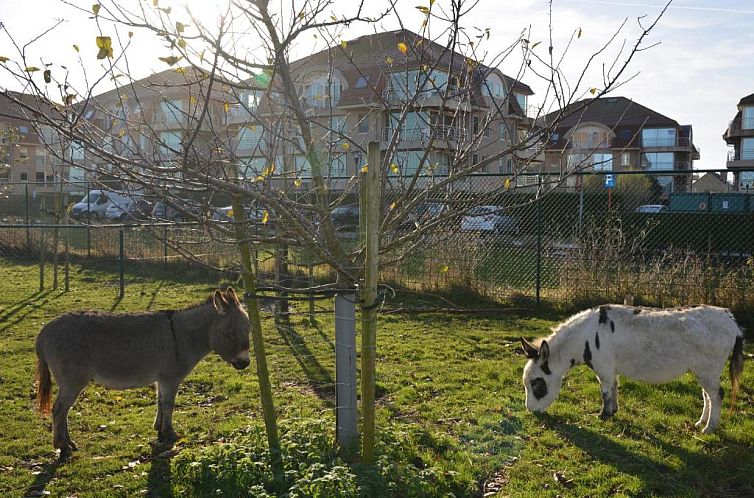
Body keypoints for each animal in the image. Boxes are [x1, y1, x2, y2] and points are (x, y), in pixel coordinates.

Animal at [520, 304, 744, 432]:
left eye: (536, 384)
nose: (531, 411)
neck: (584, 336)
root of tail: (731, 320)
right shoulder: (611, 370)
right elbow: (614, 388)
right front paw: (613, 411)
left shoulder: (603, 368)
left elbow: (605, 392)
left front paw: (603, 415)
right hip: (704, 371)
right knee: (708, 396)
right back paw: (700, 423)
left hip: (708, 369)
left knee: (717, 395)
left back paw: (709, 429)